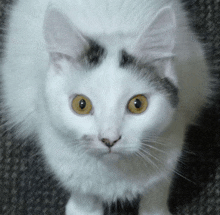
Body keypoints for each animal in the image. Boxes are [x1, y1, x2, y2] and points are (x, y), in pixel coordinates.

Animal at [0, 0, 213, 215]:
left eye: (138, 104)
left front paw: (154, 209)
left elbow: (158, 188)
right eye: (81, 104)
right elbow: (83, 193)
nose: (109, 139)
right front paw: (82, 208)